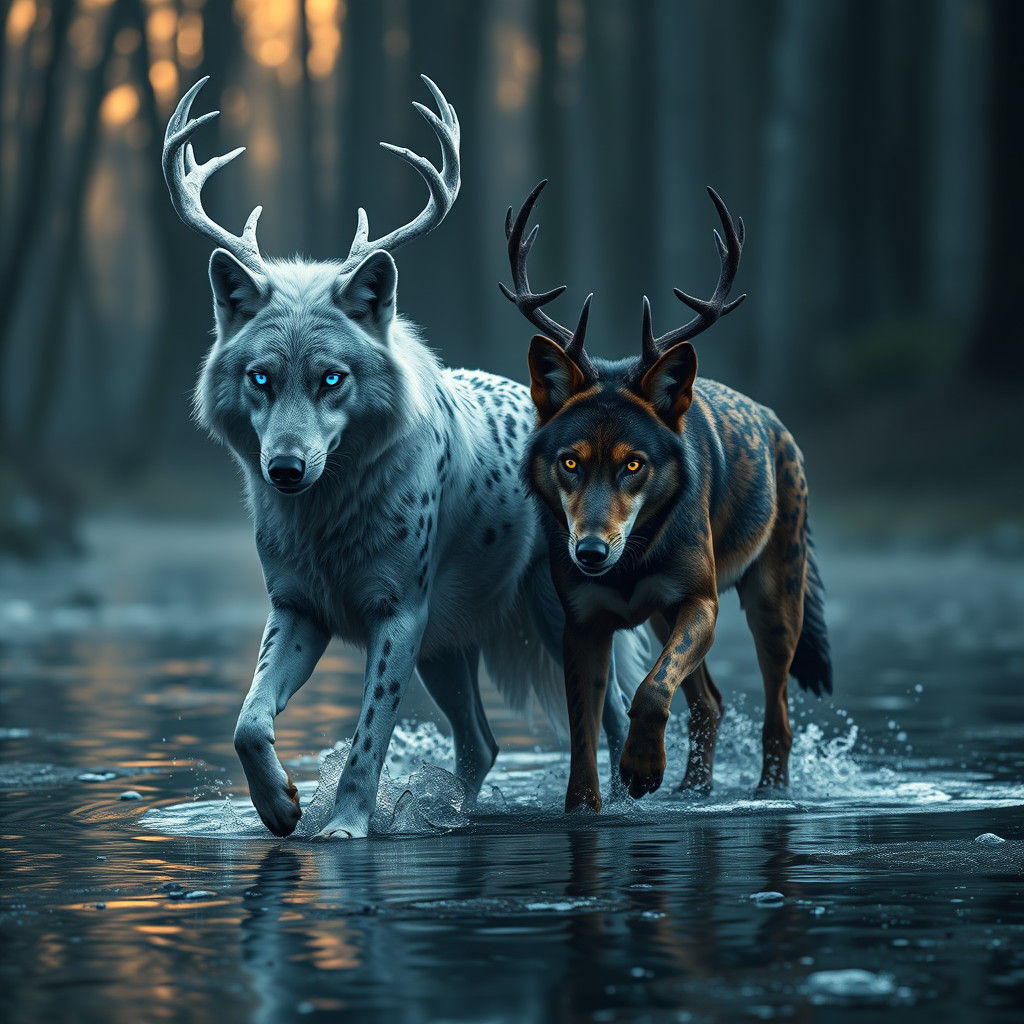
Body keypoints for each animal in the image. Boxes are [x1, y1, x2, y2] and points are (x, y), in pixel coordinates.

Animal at [162, 78, 649, 838]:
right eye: (261, 378)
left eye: (332, 378)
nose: (286, 470)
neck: (328, 519)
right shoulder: (299, 609)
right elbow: (247, 722)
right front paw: (282, 807)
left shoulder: (398, 618)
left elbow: (368, 739)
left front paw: (343, 828)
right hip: (449, 652)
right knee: (482, 744)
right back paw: (450, 816)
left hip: (542, 623)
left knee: (616, 721)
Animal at [501, 181, 832, 811]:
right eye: (570, 462)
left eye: (634, 464)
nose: (590, 554)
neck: (632, 562)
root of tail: (779, 426)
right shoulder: (582, 622)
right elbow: (584, 733)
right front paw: (588, 803)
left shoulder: (700, 601)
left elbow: (653, 689)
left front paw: (641, 771)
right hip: (661, 617)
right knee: (711, 703)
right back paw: (693, 790)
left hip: (773, 606)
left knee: (777, 717)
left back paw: (767, 792)